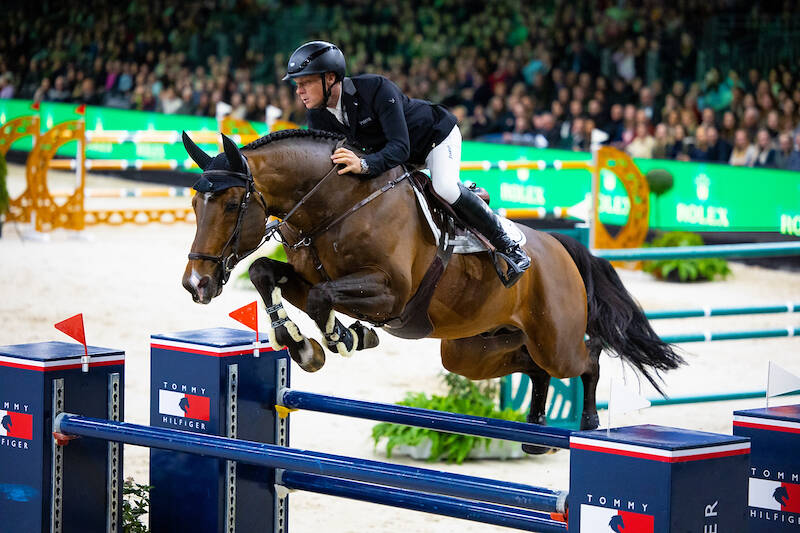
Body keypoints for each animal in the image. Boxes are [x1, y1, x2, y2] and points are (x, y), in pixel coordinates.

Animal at [181, 130, 683, 452]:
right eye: (193, 203)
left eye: (232, 204)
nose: (195, 284)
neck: (337, 204)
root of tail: (558, 245)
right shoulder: (311, 277)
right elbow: (266, 273)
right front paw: (301, 344)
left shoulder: (391, 295)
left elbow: (324, 300)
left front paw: (342, 339)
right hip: (471, 351)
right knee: (533, 366)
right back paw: (536, 431)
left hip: (554, 337)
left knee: (587, 357)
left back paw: (590, 423)